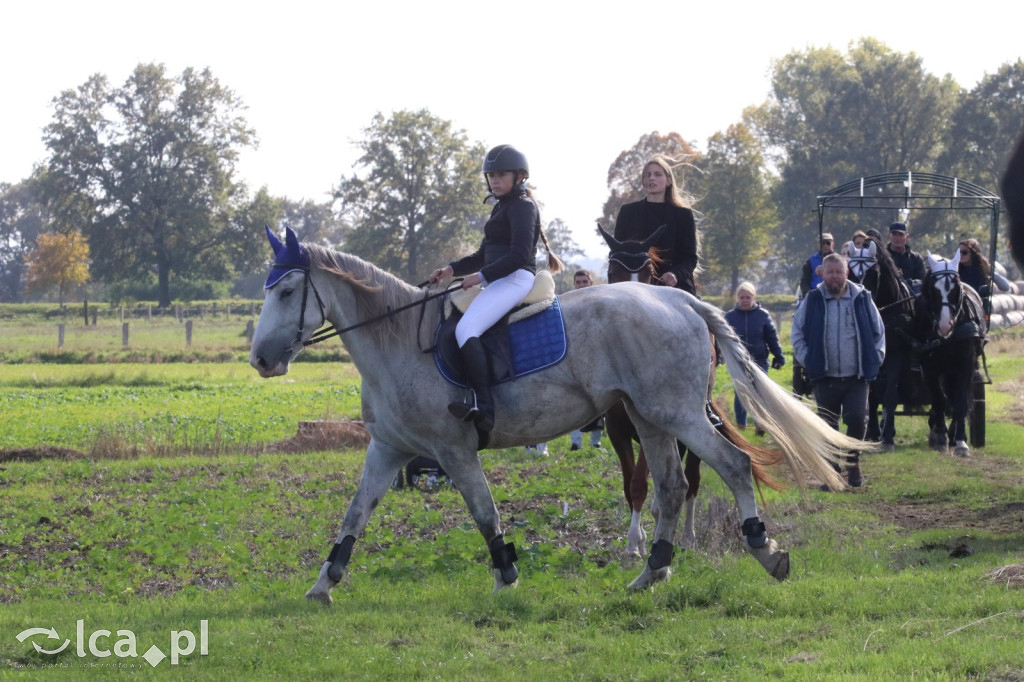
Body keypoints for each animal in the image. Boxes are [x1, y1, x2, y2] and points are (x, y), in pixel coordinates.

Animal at [598, 225, 778, 557]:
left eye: (649, 273)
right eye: (613, 270)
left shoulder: (654, 426)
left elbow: (643, 483)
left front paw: (637, 543)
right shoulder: (617, 431)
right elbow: (630, 485)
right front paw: (635, 540)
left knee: (692, 480)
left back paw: (689, 536)